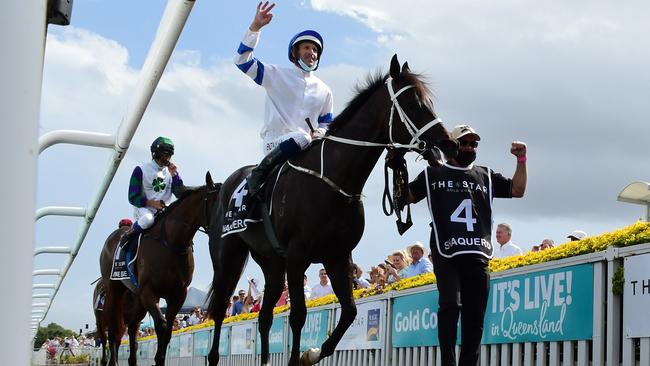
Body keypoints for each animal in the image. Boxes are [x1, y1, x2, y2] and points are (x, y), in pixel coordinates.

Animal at [98, 173, 219, 364]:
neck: (171, 242)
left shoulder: (178, 294)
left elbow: (168, 330)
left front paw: (160, 358)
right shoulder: (149, 291)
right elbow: (161, 326)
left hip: (137, 299)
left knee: (131, 328)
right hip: (114, 291)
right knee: (114, 331)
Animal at [206, 55, 456, 366]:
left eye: (428, 100)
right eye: (412, 103)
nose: (448, 143)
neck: (334, 182)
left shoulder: (337, 255)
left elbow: (349, 311)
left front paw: (311, 353)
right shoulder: (298, 256)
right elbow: (298, 316)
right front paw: (297, 358)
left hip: (272, 263)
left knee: (264, 317)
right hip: (228, 257)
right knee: (219, 309)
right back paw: (213, 357)